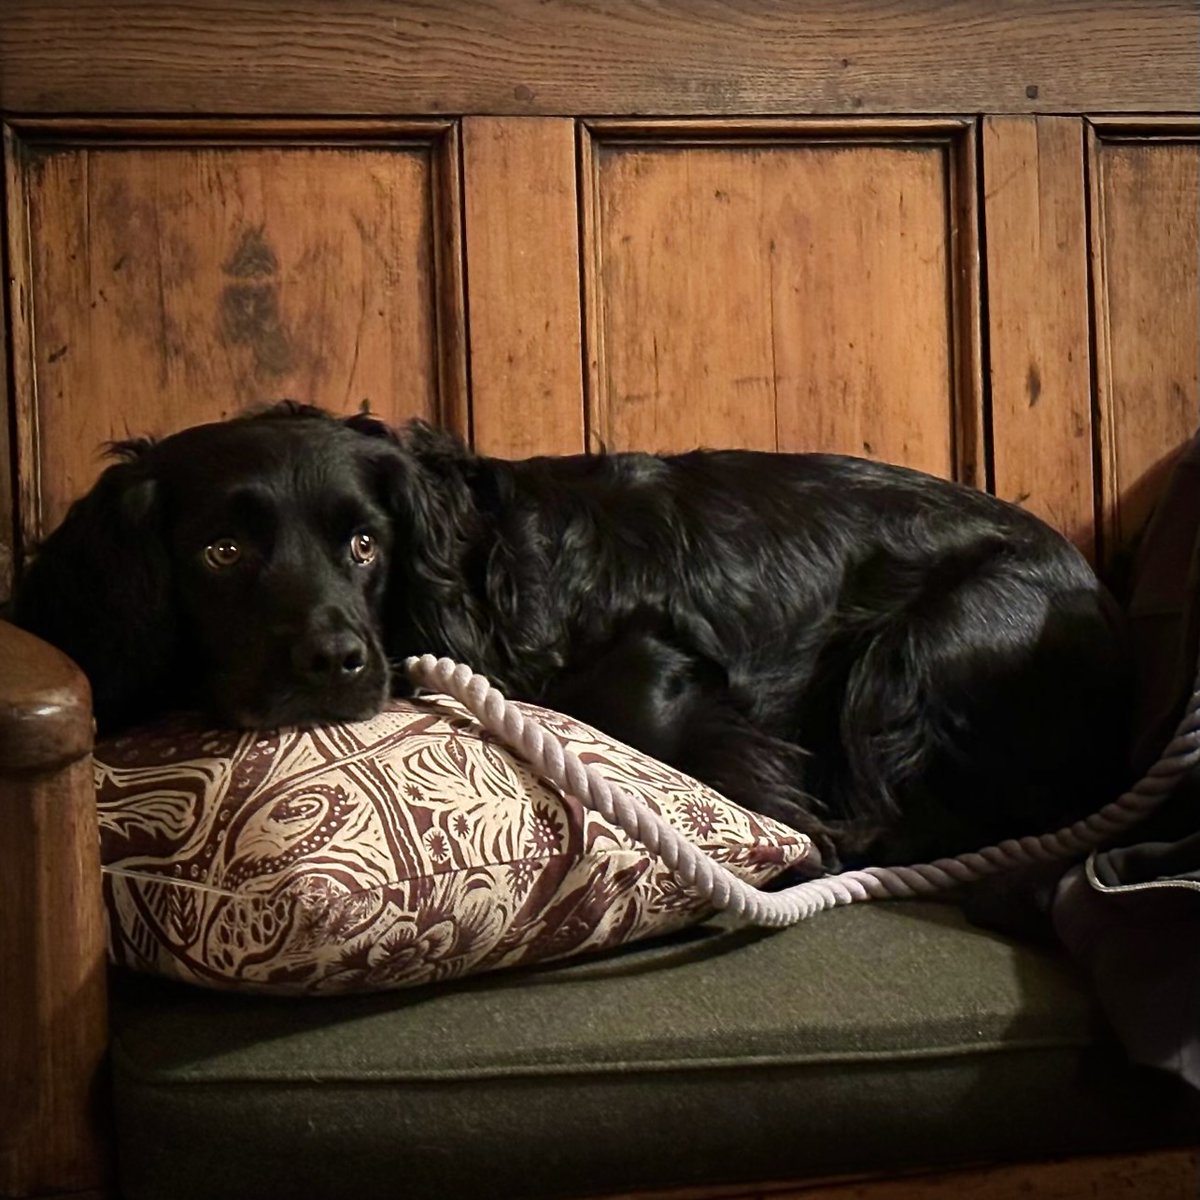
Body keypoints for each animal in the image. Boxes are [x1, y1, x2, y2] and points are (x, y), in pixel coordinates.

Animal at [16, 403, 1132, 864]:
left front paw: (788, 818)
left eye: (365, 542)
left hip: (917, 646)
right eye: (220, 553)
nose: (338, 662)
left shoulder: (655, 664)